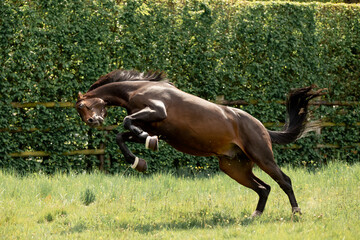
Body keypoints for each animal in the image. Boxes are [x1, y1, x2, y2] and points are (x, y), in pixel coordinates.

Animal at [75, 69, 324, 218]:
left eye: (82, 106)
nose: (92, 121)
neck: (137, 88)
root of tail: (261, 126)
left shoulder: (157, 110)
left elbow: (127, 123)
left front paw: (148, 146)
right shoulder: (151, 126)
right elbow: (123, 135)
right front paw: (139, 161)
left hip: (262, 157)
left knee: (284, 181)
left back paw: (296, 212)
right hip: (235, 168)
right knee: (264, 188)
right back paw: (255, 216)